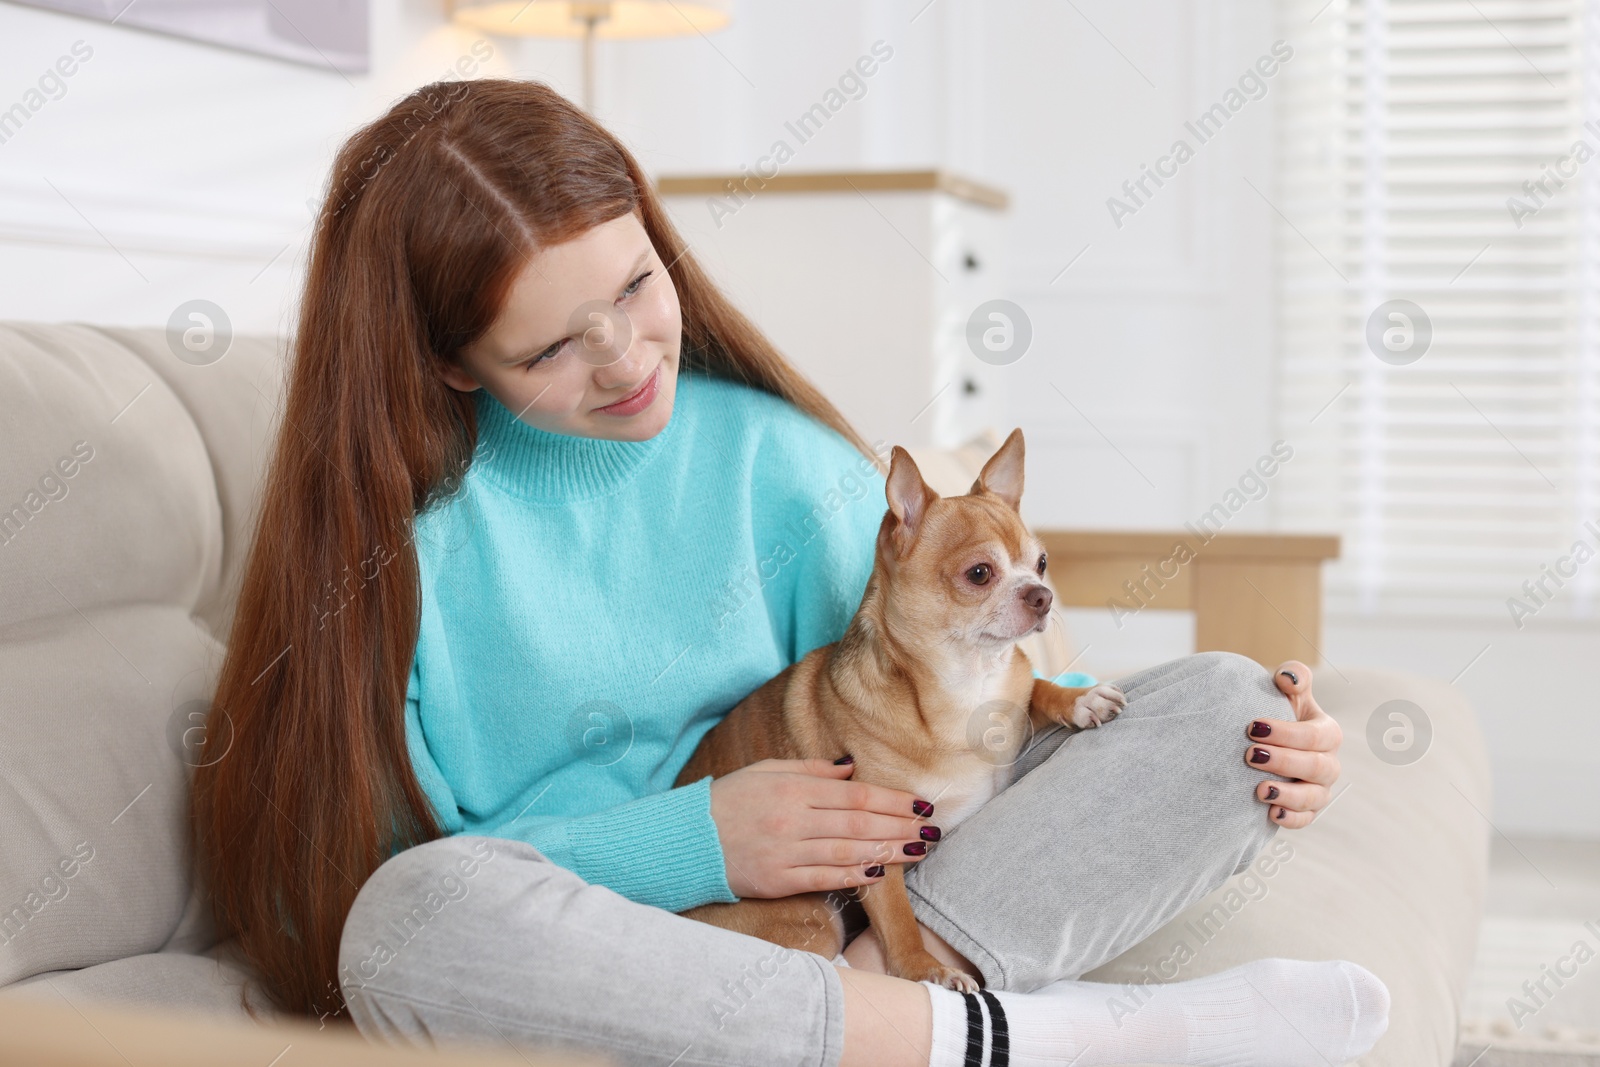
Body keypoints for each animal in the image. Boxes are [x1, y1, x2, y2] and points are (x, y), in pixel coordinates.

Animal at [675, 428, 1126, 991]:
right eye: (980, 573)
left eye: (1042, 564)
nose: (1041, 595)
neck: (966, 688)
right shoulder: (880, 845)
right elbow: (898, 917)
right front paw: (924, 969)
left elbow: (1033, 685)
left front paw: (1078, 698)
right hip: (808, 917)